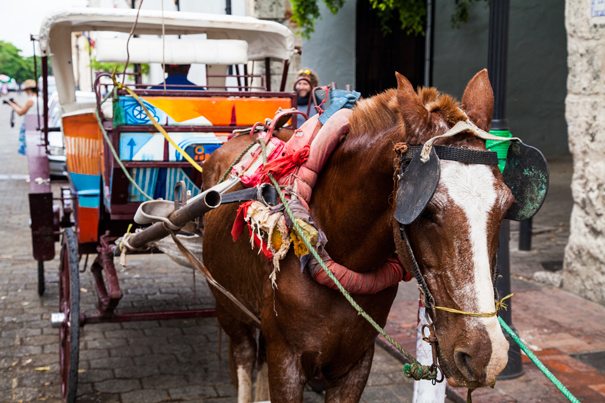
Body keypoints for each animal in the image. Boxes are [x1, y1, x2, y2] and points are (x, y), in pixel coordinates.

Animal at [202, 69, 510, 400]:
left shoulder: (356, 362)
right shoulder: (285, 361)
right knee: (245, 356)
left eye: (507, 206)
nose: (485, 356)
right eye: (425, 211)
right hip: (228, 306)